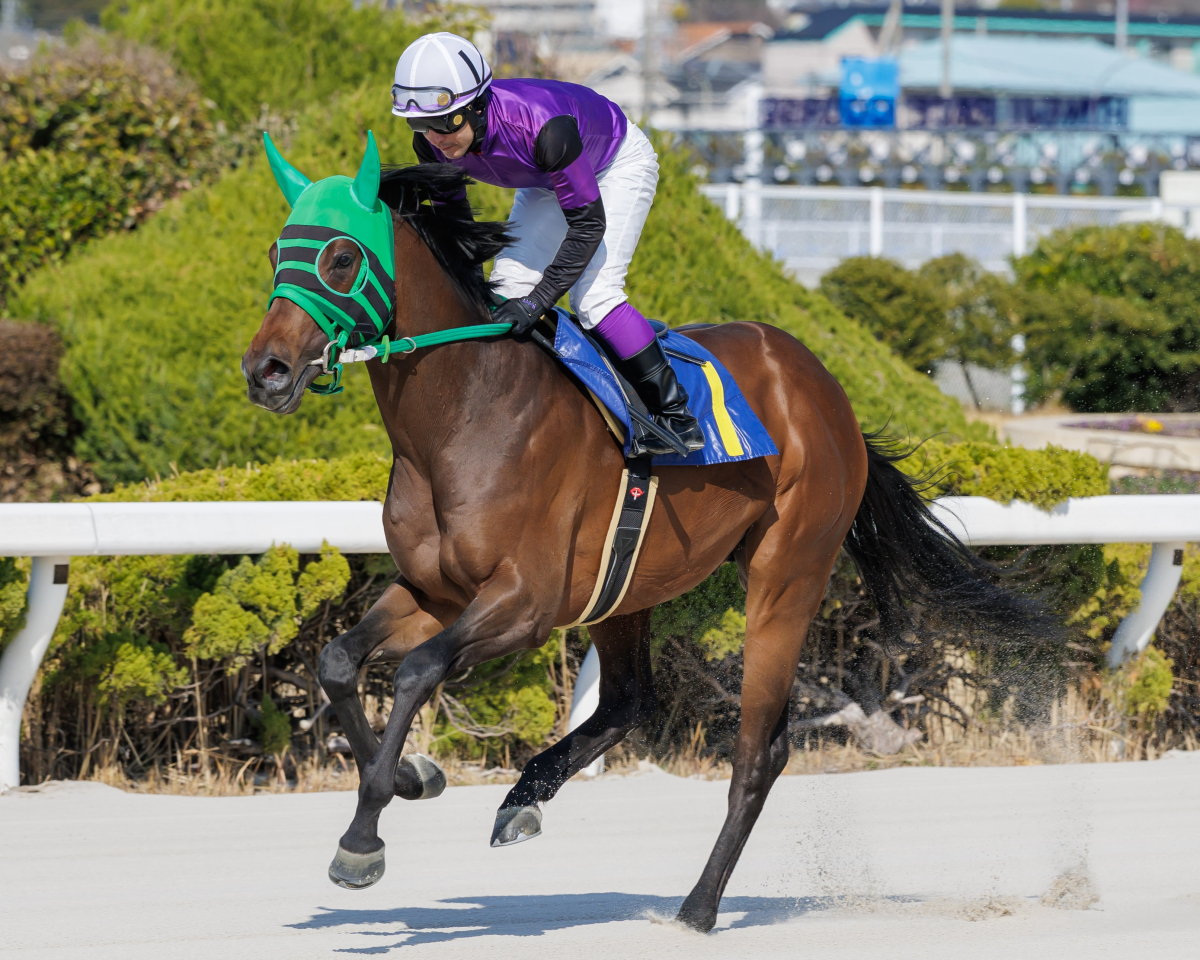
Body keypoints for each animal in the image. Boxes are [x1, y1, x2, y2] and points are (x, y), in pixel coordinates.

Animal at [243, 153, 1043, 932]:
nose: (265, 371)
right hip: (623, 588)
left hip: (787, 572)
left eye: (342, 256)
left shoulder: (523, 603)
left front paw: (363, 839)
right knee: (630, 699)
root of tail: (823, 384)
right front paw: (414, 777)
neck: (467, 413)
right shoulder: (435, 592)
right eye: (279, 252)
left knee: (759, 749)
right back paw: (524, 800)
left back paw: (698, 907)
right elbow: (338, 661)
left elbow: (415, 671)